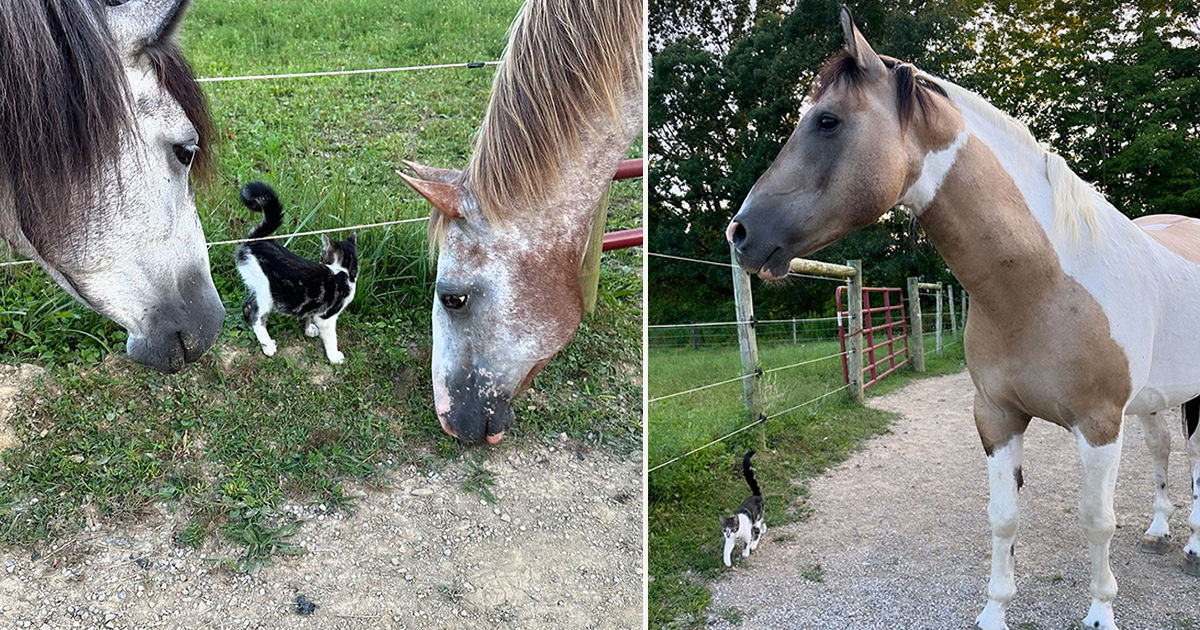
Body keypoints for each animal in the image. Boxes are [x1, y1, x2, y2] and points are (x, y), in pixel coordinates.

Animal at [724, 7, 1200, 624]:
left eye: (827, 121)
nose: (739, 233)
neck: (1045, 285)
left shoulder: (1098, 426)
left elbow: (1096, 521)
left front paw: (1099, 612)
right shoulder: (997, 417)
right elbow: (1003, 518)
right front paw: (995, 610)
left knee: (1192, 460)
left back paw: (1191, 546)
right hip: (1154, 400)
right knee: (1164, 451)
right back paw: (1161, 530)